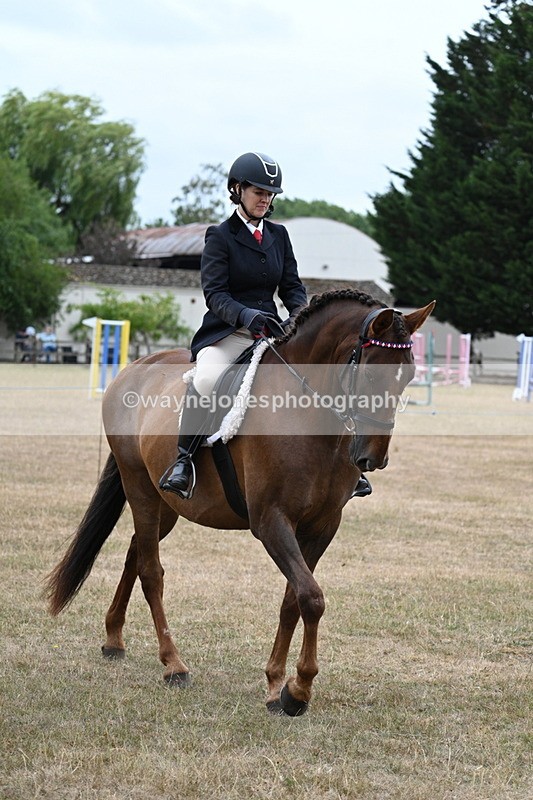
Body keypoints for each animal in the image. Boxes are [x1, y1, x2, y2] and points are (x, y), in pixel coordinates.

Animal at [46, 289, 435, 716]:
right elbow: (311, 597)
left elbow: (294, 599)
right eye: (370, 374)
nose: (372, 458)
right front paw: (299, 690)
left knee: (136, 552)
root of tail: (135, 368)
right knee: (151, 572)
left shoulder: (323, 526)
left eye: (409, 375)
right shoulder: (270, 521)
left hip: (167, 504)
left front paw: (277, 685)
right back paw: (173, 664)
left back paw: (114, 638)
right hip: (140, 489)